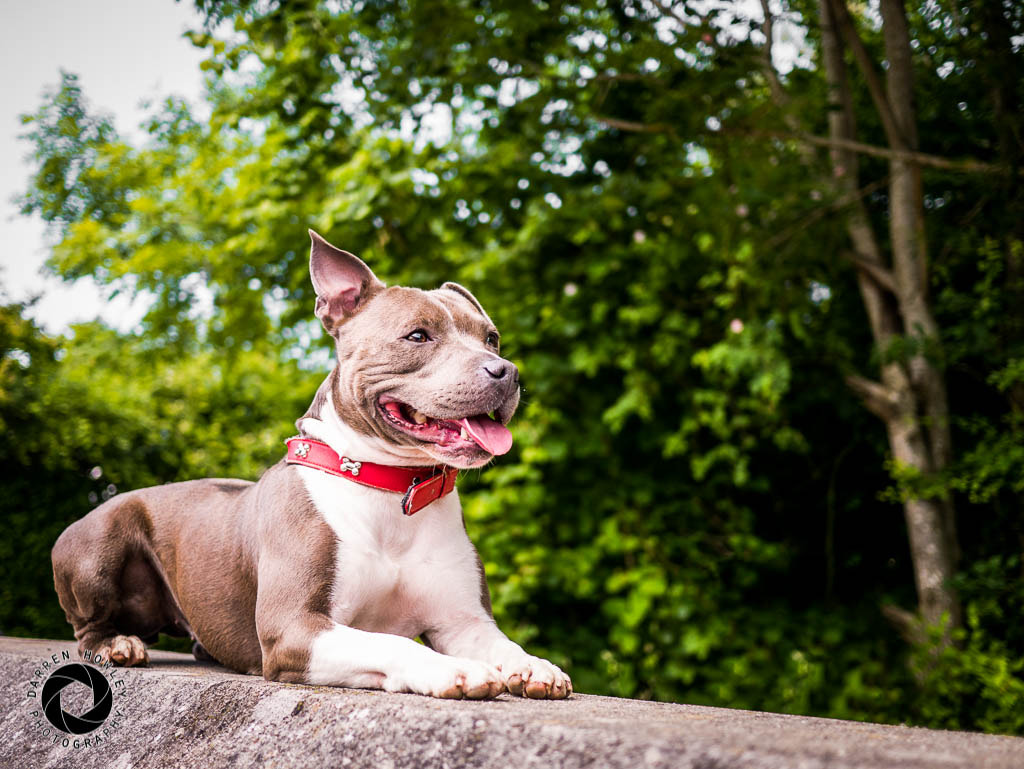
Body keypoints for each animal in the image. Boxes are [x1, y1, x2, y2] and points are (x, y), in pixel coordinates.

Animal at [51, 228, 573, 696]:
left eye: (492, 338)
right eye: (418, 336)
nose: (506, 371)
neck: (391, 485)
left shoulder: (463, 620)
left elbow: (501, 644)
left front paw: (535, 665)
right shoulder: (296, 628)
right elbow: (392, 644)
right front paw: (452, 670)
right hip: (102, 541)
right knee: (86, 627)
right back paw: (116, 643)